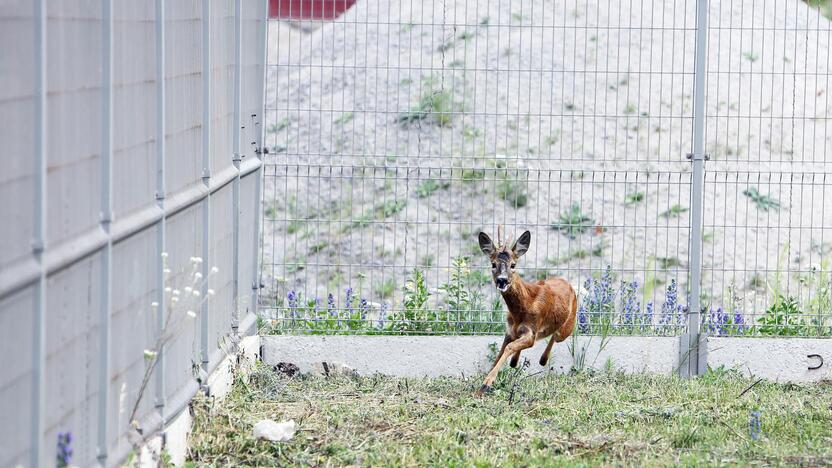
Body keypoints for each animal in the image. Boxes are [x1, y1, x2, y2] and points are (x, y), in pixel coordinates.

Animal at [474, 227, 580, 394]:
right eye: (493, 264)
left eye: (513, 265)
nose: (502, 280)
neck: (522, 308)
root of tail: (567, 283)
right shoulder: (510, 330)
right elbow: (501, 351)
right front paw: (481, 384)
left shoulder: (531, 330)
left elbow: (510, 347)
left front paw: (486, 383)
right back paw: (517, 361)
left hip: (566, 328)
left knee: (556, 335)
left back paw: (542, 359)